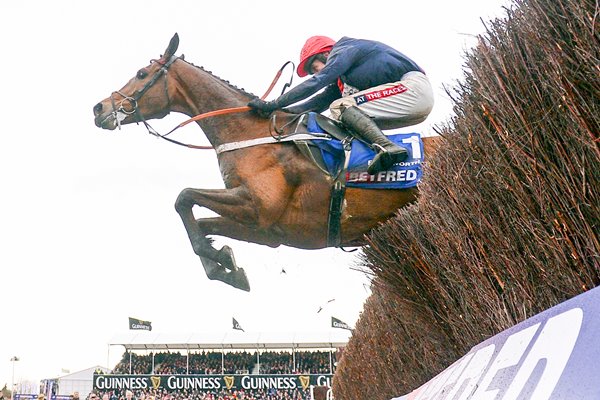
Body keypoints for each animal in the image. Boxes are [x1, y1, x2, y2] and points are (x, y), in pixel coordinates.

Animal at [92, 33, 440, 290]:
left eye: (141, 73)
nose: (99, 108)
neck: (252, 134)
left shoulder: (258, 207)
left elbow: (184, 197)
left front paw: (222, 261)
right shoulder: (267, 232)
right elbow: (200, 226)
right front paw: (223, 263)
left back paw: (391, 153)